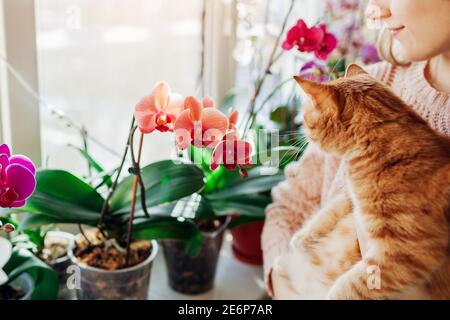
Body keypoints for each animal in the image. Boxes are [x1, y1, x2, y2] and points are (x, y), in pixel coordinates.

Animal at [278, 63, 450, 298]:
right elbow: (333, 208)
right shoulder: (353, 197)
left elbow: (348, 286)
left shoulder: (402, 254)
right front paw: (304, 236)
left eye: (305, 118)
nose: (302, 133)